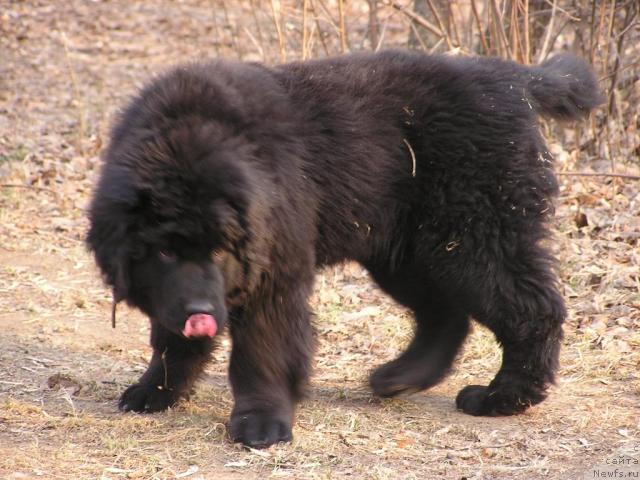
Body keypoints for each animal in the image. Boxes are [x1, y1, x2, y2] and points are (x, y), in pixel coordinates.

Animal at [87, 51, 604, 450]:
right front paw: (155, 391)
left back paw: (502, 397)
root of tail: (516, 79)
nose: (202, 312)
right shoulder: (174, 291)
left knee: (530, 309)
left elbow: (262, 352)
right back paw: (401, 377)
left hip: (475, 239)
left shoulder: (274, 272)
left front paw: (261, 425)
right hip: (407, 251)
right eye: (165, 253)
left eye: (221, 252)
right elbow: (171, 339)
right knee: (445, 315)